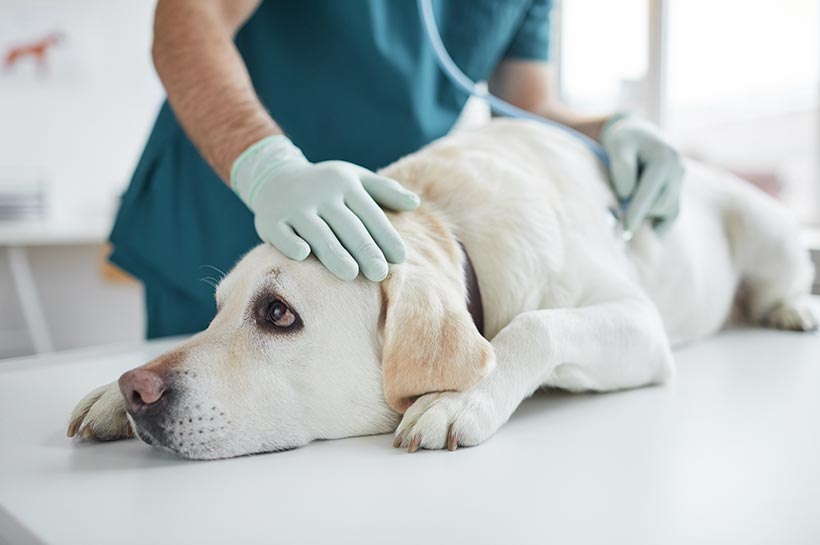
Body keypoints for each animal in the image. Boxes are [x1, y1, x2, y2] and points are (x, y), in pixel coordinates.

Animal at [67, 120, 816, 460]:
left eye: (277, 313)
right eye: (217, 309)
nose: (137, 389)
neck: (446, 226)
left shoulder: (639, 323)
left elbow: (533, 325)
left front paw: (459, 398)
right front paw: (106, 394)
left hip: (766, 230)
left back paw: (792, 307)